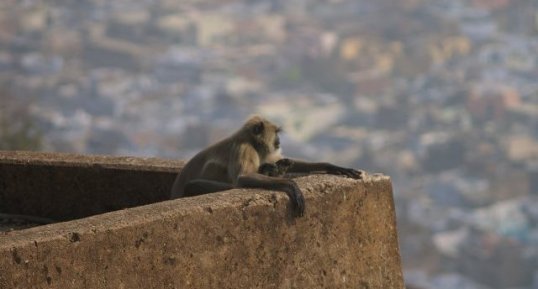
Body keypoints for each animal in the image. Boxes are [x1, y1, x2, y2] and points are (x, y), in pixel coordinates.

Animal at [170, 115, 362, 216]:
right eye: (275, 133)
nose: (279, 140)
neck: (250, 140)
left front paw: (334, 167)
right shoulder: (244, 148)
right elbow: (243, 177)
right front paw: (293, 186)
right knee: (193, 185)